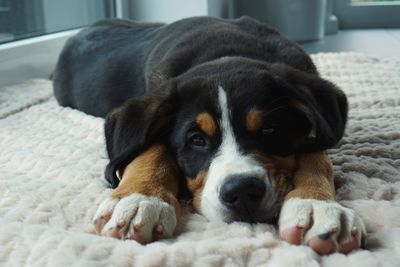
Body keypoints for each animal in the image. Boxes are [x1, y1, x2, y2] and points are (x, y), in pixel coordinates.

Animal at [52, 16, 366, 255]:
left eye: (270, 130)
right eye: (196, 140)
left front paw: (317, 204)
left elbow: (318, 156)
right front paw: (139, 198)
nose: (241, 191)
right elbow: (152, 149)